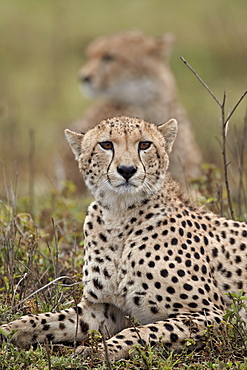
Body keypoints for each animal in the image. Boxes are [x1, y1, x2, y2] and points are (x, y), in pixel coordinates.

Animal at [0, 116, 247, 362]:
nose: (127, 170)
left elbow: (143, 331)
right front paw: (9, 329)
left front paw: (101, 350)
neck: (120, 216)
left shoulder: (214, 315)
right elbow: (49, 320)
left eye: (145, 144)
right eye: (106, 145)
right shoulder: (102, 309)